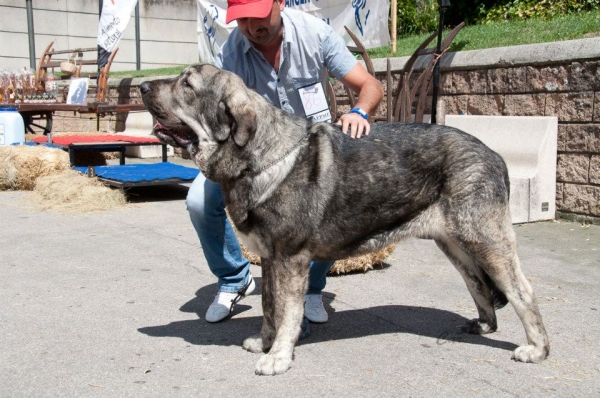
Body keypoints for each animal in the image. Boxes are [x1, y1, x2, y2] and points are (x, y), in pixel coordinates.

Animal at [139, 63, 548, 374]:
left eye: (187, 85)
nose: (142, 85)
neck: (259, 155)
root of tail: (493, 154)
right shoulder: (271, 260)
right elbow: (270, 307)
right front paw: (266, 343)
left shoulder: (290, 260)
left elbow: (287, 312)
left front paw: (279, 357)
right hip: (455, 245)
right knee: (478, 283)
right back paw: (485, 324)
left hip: (484, 239)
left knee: (522, 290)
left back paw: (537, 349)